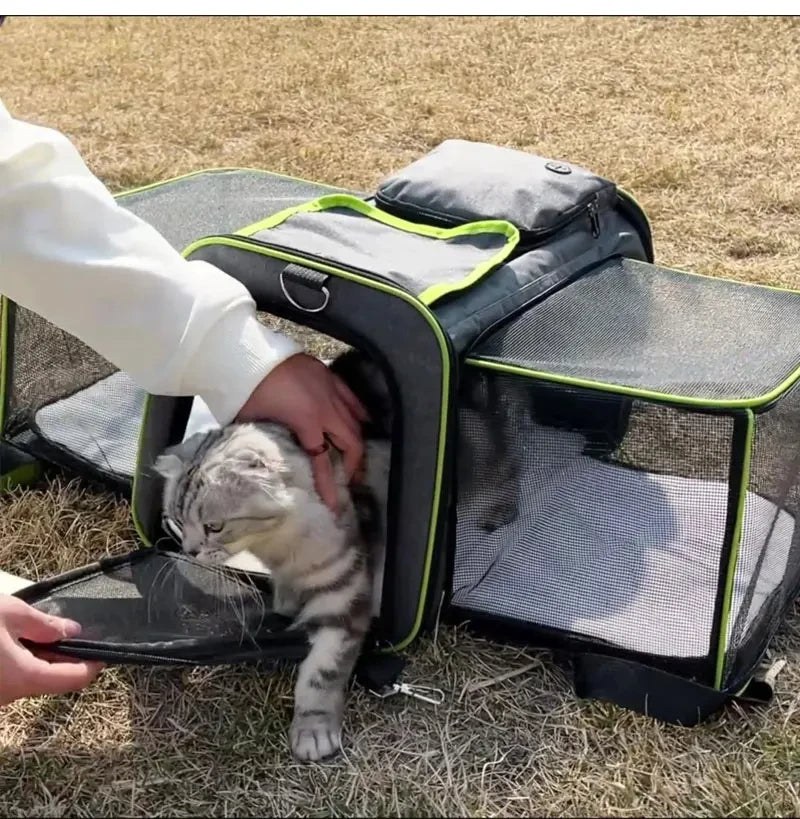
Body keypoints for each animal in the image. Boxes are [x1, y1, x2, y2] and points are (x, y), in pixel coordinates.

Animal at [153, 350, 390, 764]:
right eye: (179, 522)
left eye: (214, 526)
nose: (190, 550)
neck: (277, 544)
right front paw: (286, 605)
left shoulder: (342, 591)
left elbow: (321, 673)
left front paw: (314, 732)